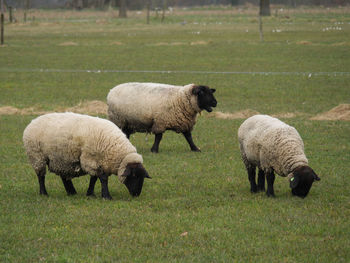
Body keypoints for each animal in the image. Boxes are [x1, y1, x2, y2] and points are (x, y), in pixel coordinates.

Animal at [22, 112, 151, 201]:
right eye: (134, 175)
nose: (136, 194)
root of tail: (32, 122)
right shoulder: (90, 160)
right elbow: (102, 178)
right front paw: (106, 196)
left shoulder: (97, 162)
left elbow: (94, 178)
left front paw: (91, 193)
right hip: (37, 157)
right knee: (41, 176)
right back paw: (44, 193)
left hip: (62, 159)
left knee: (63, 176)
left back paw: (71, 192)